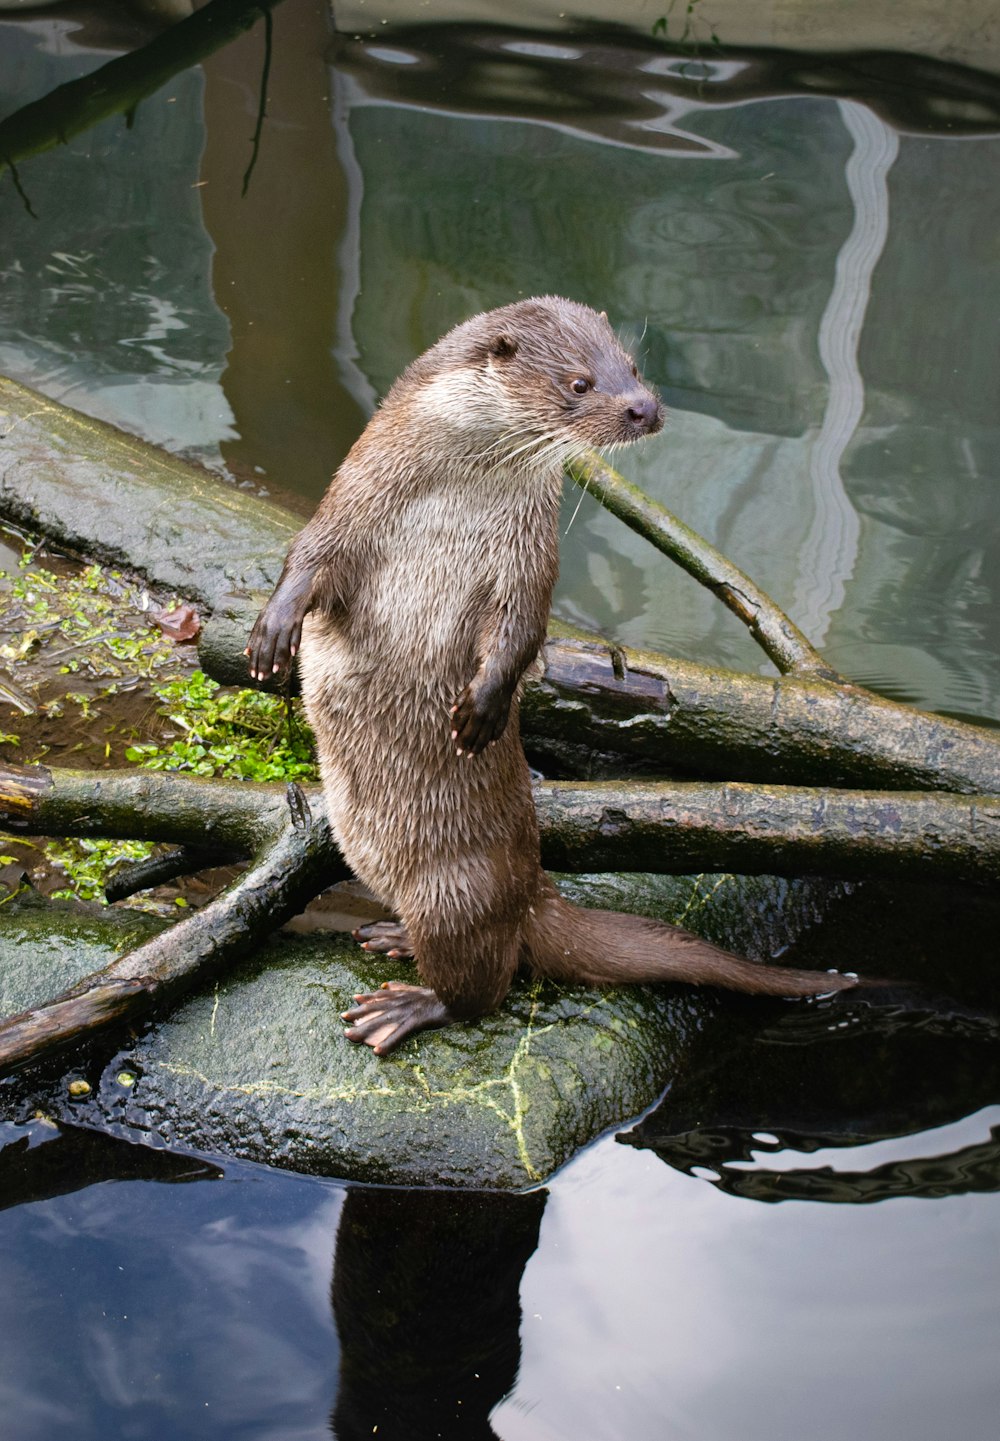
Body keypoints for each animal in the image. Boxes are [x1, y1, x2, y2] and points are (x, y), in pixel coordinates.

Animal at [244, 295, 853, 1060]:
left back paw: (408, 1001)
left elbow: (520, 633)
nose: (645, 408)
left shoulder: (527, 559)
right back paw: (392, 942)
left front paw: (483, 707)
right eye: (579, 383)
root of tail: (533, 892)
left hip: (457, 890)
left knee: (484, 985)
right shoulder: (353, 496)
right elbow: (308, 555)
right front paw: (273, 633)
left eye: (632, 366)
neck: (450, 494)